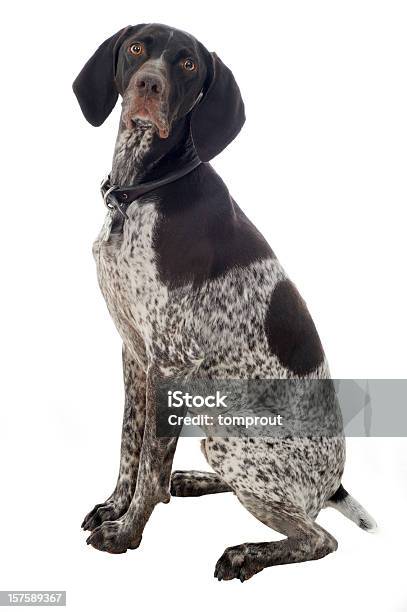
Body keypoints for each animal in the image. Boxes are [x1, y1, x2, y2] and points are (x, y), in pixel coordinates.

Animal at [72, 21, 376, 580]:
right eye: (136, 48)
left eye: (188, 64)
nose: (148, 86)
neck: (142, 192)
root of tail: (334, 482)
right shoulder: (136, 354)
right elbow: (130, 446)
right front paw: (114, 506)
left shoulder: (169, 361)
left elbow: (150, 467)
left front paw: (126, 533)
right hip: (218, 431)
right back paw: (193, 481)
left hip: (235, 441)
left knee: (318, 536)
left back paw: (244, 554)